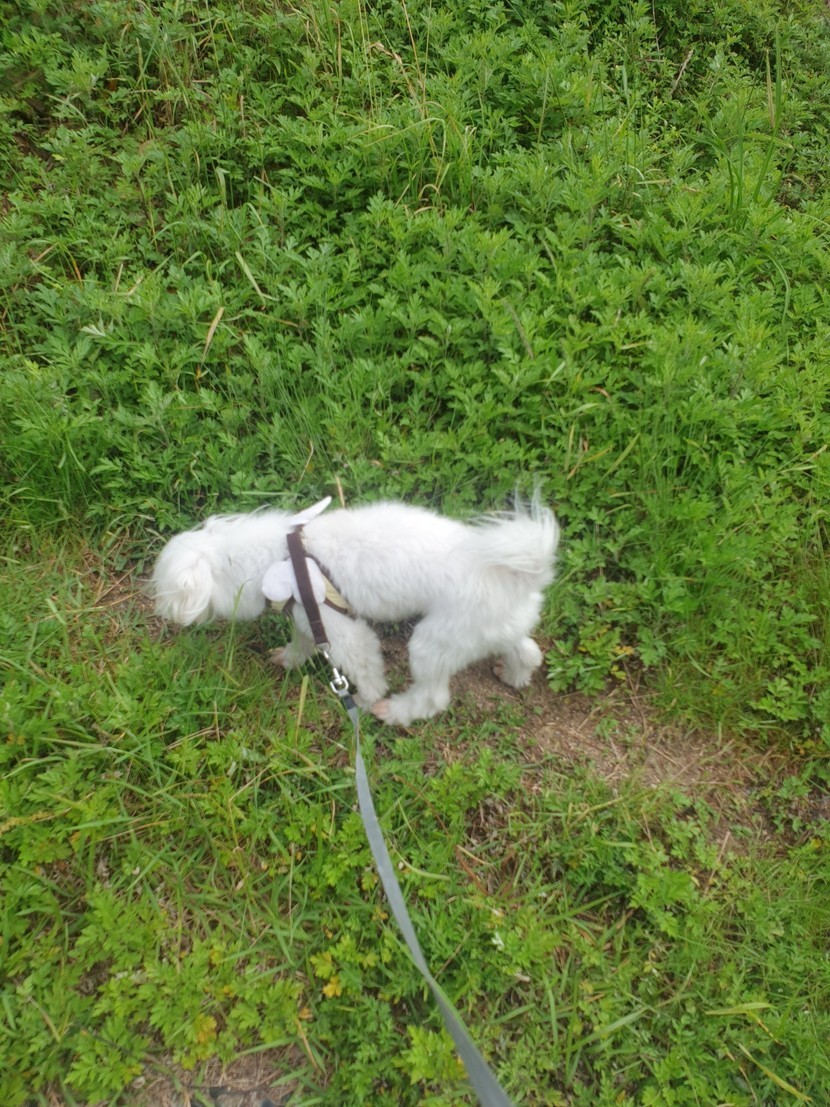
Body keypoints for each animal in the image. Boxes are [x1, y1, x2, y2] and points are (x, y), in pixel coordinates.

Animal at [150, 495, 559, 725]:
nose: (161, 611)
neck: (281, 558)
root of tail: (524, 574)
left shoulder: (337, 627)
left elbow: (366, 669)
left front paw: (364, 701)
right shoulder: (307, 617)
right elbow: (301, 643)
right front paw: (290, 659)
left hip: (433, 641)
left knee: (434, 697)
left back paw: (394, 713)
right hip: (487, 628)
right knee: (528, 651)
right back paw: (514, 675)